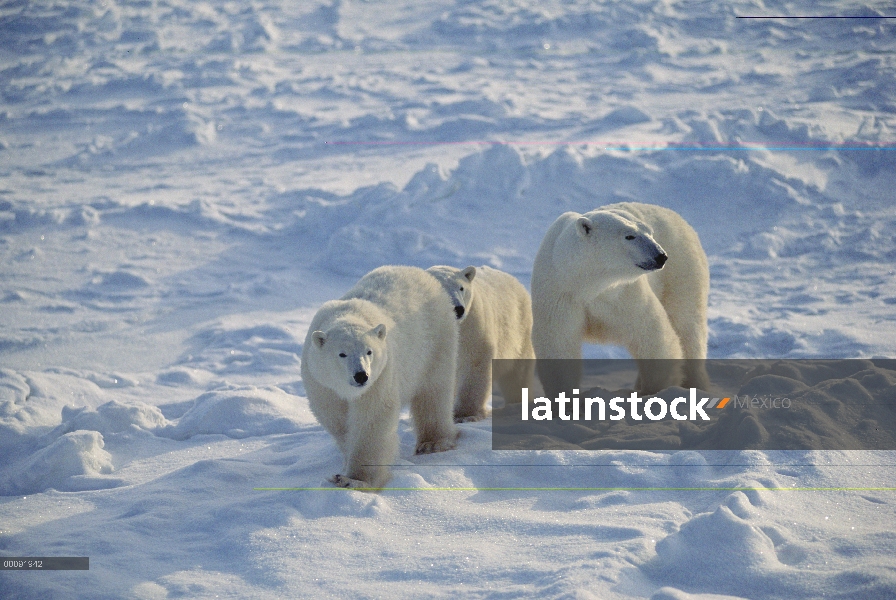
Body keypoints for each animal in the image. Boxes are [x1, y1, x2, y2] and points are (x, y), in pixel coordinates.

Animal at [300, 264, 458, 490]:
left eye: (369, 351)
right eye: (342, 354)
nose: (361, 376)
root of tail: (418, 271)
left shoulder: (381, 376)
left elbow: (373, 418)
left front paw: (353, 480)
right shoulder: (321, 383)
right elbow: (337, 419)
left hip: (436, 340)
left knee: (434, 391)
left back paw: (433, 443)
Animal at [426, 262, 532, 422]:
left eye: (461, 288)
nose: (458, 309)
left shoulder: (473, 328)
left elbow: (474, 366)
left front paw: (465, 415)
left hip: (519, 331)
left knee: (517, 375)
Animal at [528, 204, 712, 396]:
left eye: (650, 232)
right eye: (629, 236)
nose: (661, 256)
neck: (589, 283)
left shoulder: (623, 294)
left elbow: (652, 334)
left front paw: (654, 392)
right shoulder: (560, 292)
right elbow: (558, 343)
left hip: (681, 272)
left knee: (687, 326)